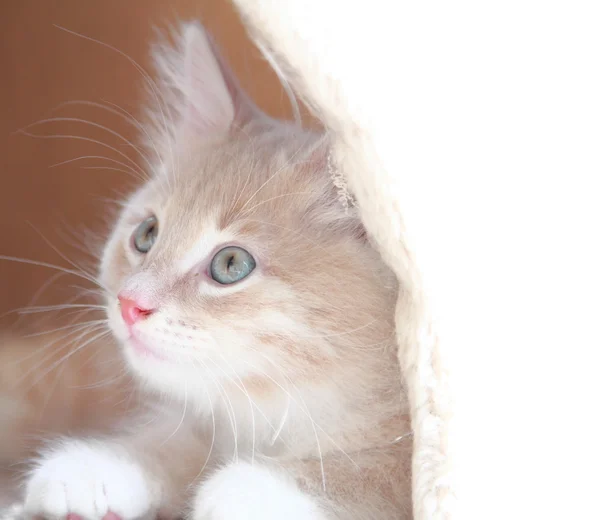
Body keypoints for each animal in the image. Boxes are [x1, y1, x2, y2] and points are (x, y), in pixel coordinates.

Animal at [8, 21, 412, 520]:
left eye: (231, 264)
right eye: (146, 234)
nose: (129, 303)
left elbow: (373, 471)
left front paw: (251, 488)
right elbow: (177, 442)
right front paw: (98, 467)